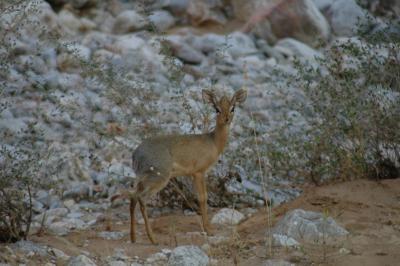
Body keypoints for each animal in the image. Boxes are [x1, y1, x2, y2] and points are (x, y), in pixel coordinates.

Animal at [122, 89, 247, 243]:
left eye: (232, 108)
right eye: (216, 109)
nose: (227, 119)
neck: (213, 142)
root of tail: (136, 153)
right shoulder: (199, 172)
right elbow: (203, 198)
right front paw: (209, 230)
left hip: (142, 178)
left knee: (133, 196)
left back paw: (133, 238)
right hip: (159, 178)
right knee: (141, 198)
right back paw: (153, 239)